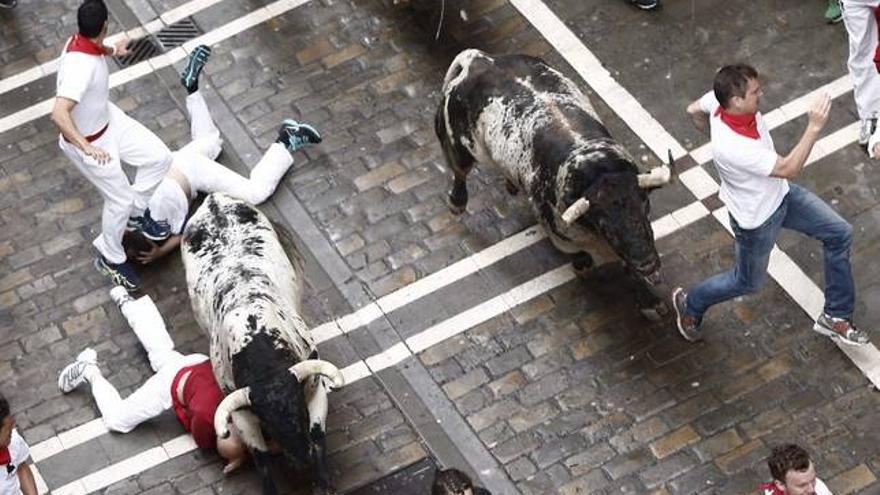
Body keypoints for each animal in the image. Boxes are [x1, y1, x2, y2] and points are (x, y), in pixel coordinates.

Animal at [180, 192, 344, 494]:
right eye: (268, 422)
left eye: (298, 409)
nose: (300, 458)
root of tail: (213, 199)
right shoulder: (243, 416)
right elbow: (261, 459)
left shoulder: (314, 388)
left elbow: (318, 435)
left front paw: (324, 481)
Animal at [436, 49, 676, 318]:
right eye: (603, 221)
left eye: (645, 205)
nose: (648, 263)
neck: (597, 170)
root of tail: (480, 60)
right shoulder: (562, 235)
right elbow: (583, 255)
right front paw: (584, 266)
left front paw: (650, 302)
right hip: (461, 146)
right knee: (460, 171)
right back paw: (457, 202)